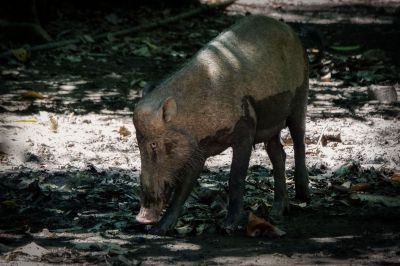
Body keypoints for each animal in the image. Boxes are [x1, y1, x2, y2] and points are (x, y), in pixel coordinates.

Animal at [133, 15, 310, 235]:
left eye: (154, 144)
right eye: (138, 144)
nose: (141, 218)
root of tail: (289, 29)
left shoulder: (245, 129)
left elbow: (236, 177)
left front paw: (227, 227)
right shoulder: (198, 150)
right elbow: (184, 186)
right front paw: (159, 230)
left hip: (301, 94)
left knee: (299, 139)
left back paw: (304, 197)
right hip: (272, 123)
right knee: (278, 154)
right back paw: (277, 212)